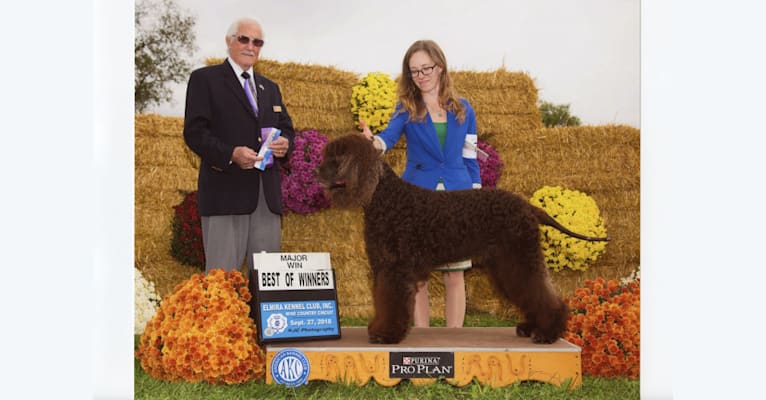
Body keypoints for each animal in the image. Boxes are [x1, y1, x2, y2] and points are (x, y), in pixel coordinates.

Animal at [316, 134, 608, 344]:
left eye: (336, 157)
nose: (316, 172)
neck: (386, 198)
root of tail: (527, 206)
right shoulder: (383, 267)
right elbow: (383, 301)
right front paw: (379, 329)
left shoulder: (395, 269)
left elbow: (392, 302)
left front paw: (385, 334)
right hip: (507, 263)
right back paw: (531, 328)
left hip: (520, 258)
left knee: (542, 293)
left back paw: (547, 333)